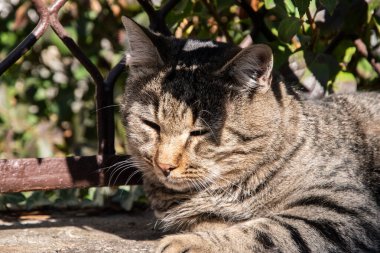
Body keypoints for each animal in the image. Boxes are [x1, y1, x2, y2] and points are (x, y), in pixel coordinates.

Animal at [120, 16, 378, 252]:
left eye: (199, 131)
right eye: (151, 125)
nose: (164, 166)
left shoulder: (347, 207)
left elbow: (270, 229)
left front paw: (189, 242)